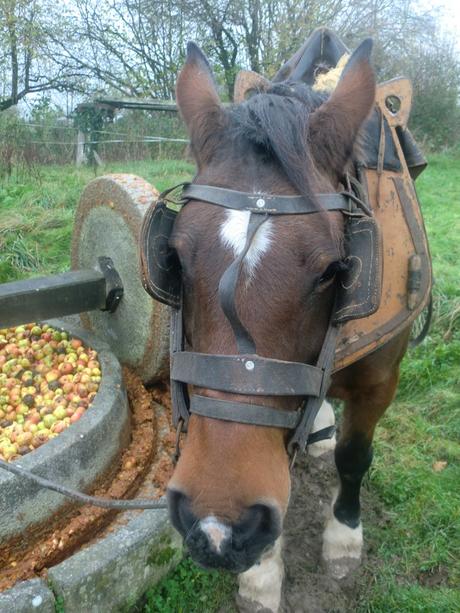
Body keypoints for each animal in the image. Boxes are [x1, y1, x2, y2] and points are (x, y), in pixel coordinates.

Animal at [164, 40, 410, 608]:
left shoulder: (381, 382)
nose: (218, 528)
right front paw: (261, 575)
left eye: (334, 270)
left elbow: (354, 457)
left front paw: (344, 538)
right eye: (175, 260)